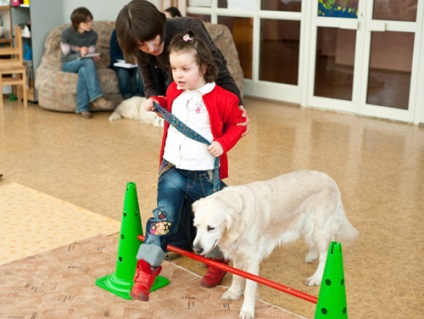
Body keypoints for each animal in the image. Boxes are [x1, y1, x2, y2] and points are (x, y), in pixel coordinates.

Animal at [192, 171, 358, 319]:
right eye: (196, 226)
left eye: (211, 228)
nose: (196, 249)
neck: (240, 213)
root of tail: (331, 180)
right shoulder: (238, 253)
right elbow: (237, 275)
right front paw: (234, 292)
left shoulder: (252, 259)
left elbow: (250, 288)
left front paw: (247, 310)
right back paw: (311, 255)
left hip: (320, 228)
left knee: (325, 255)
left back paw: (316, 278)